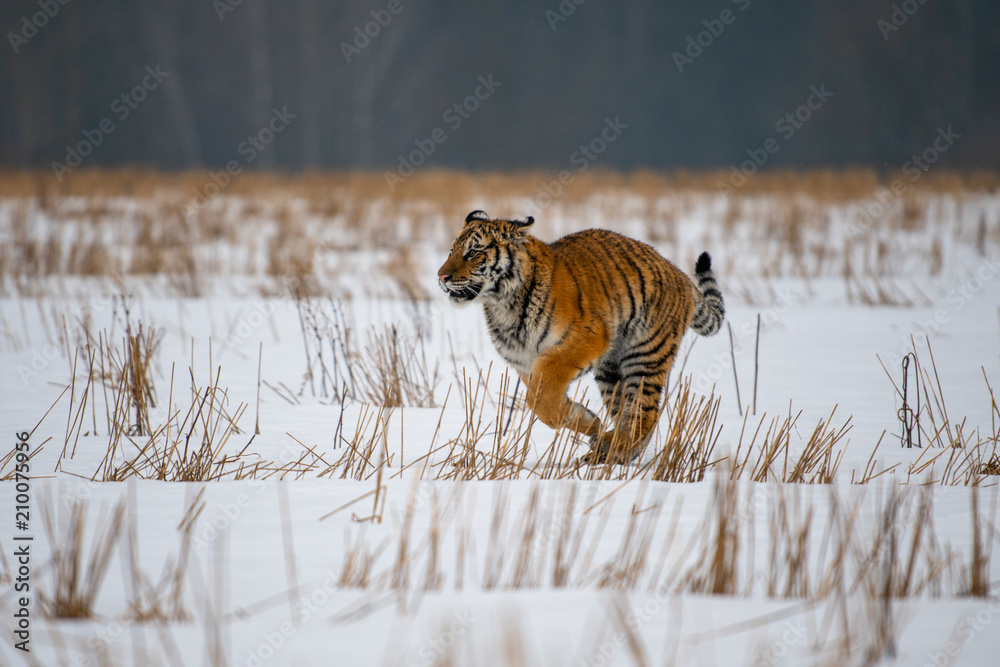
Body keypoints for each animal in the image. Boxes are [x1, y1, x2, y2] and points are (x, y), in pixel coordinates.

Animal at [437, 210, 724, 464]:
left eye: (474, 253)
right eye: (452, 251)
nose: (442, 276)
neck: (502, 305)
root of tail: (679, 274)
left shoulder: (581, 340)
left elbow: (542, 395)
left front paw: (587, 422)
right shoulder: (523, 362)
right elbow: (539, 400)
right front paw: (588, 422)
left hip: (645, 355)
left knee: (645, 412)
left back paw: (614, 447)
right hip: (611, 370)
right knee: (626, 411)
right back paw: (610, 449)